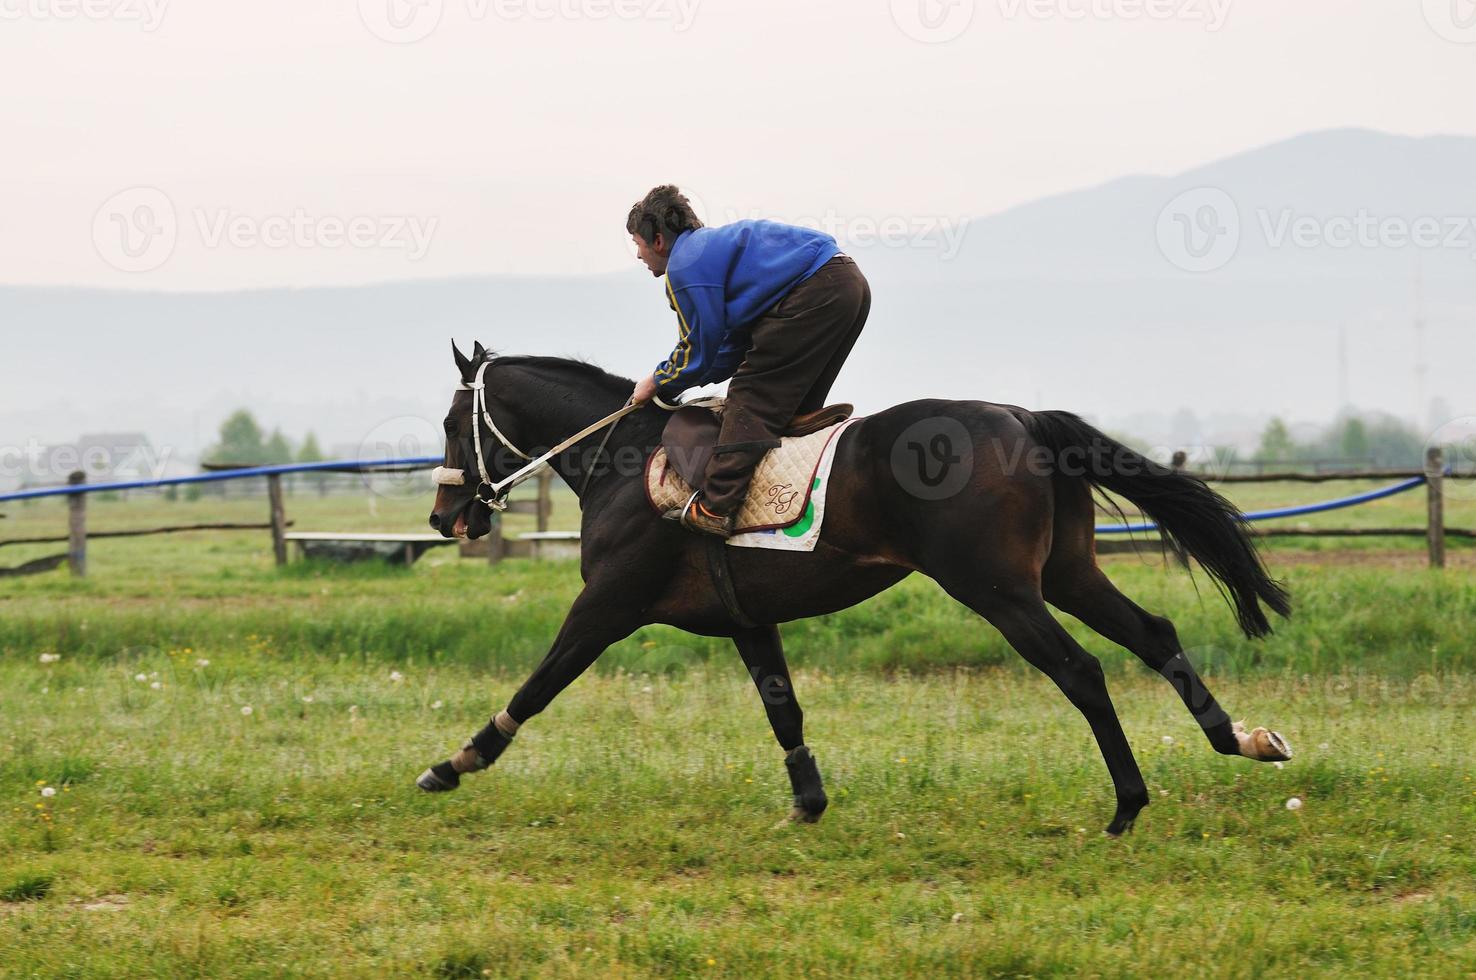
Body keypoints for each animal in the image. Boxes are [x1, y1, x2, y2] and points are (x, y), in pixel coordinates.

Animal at [419, 342, 1292, 832]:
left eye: (451, 422)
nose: (442, 514)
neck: (625, 458)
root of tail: (1022, 416)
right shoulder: (747, 620)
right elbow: (783, 709)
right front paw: (808, 803)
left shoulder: (606, 606)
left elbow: (537, 686)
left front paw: (456, 762)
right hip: (1067, 574)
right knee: (1154, 635)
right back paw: (1242, 739)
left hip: (999, 589)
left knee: (1081, 670)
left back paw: (1128, 804)